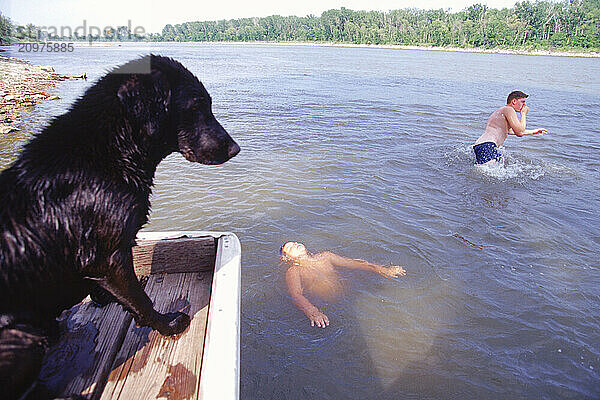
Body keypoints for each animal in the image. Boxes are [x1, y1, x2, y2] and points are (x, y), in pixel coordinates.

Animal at [0, 54, 239, 398]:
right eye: (196, 106)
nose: (235, 149)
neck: (109, 151)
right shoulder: (109, 256)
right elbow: (140, 298)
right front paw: (167, 324)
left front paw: (104, 298)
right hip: (22, 335)